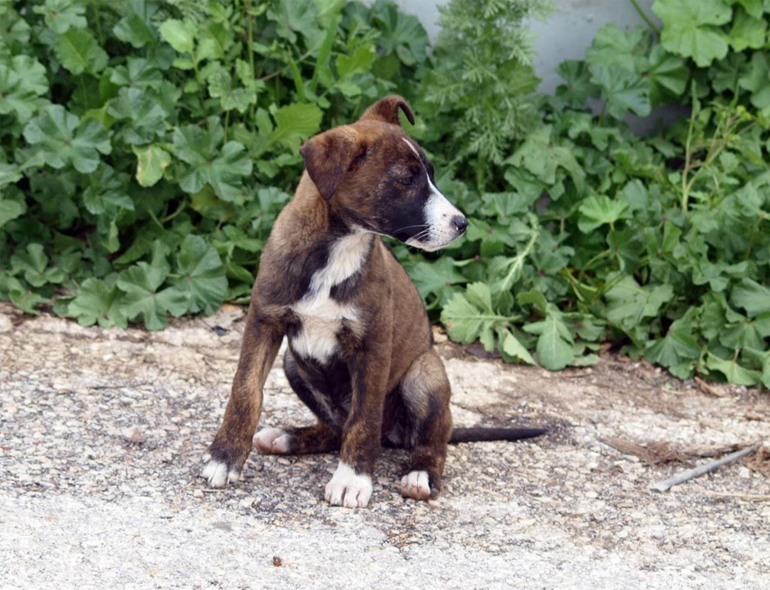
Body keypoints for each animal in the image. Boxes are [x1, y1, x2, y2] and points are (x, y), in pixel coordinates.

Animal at [201, 96, 545, 507]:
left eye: (430, 174)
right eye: (407, 179)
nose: (462, 224)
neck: (339, 246)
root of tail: (395, 438)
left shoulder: (373, 345)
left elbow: (364, 417)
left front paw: (352, 479)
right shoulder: (263, 322)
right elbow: (245, 391)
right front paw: (224, 457)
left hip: (424, 373)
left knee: (433, 437)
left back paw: (419, 474)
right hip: (293, 364)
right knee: (336, 427)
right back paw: (287, 437)